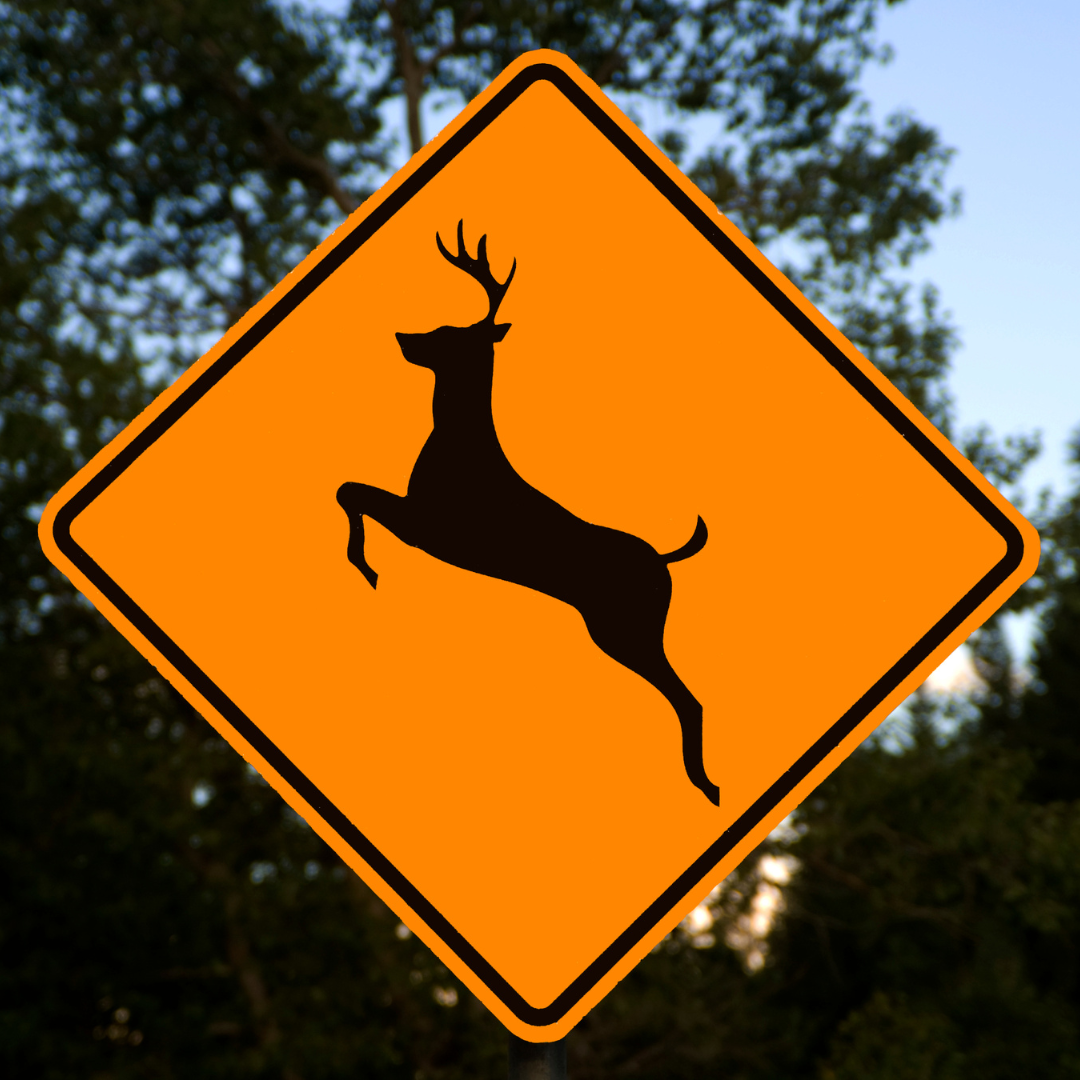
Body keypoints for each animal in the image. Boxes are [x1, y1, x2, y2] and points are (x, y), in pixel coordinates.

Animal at [336, 223, 719, 805]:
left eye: (451, 333)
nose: (403, 337)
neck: (457, 448)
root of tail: (665, 561)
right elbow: (349, 490)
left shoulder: (429, 527)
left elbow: (349, 491)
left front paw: (367, 567)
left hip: (625, 626)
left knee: (686, 697)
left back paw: (706, 786)